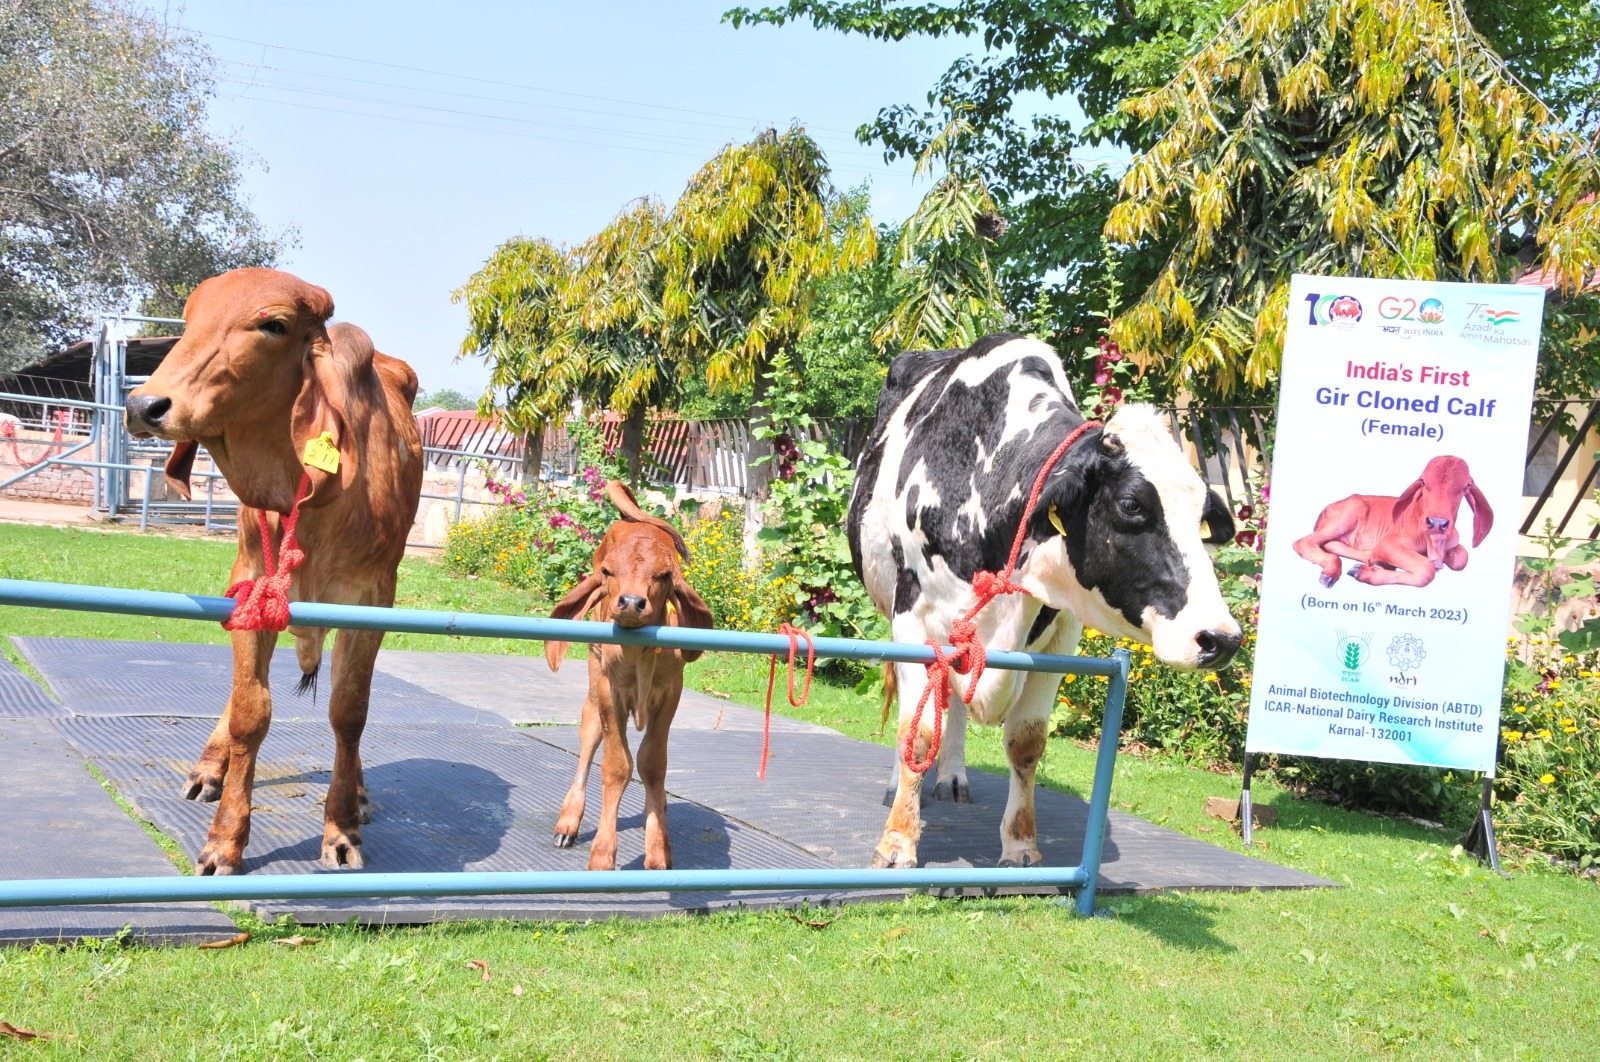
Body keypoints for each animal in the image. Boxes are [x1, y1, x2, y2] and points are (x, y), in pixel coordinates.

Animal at [124, 270, 422, 876]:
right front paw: (224, 840)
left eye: (274, 325)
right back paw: (210, 768)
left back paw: (356, 789)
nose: (145, 405)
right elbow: (250, 711)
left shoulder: (372, 601)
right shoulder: (250, 587)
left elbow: (348, 711)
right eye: (189, 320)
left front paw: (341, 828)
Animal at [544, 483, 713, 870]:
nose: (632, 603)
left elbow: (653, 764)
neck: (639, 656)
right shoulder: (611, 693)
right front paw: (603, 854)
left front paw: (658, 848)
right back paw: (568, 822)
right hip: (594, 690)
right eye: (608, 571)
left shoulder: (671, 694)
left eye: (663, 575)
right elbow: (617, 766)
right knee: (589, 740)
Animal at [851, 334, 1235, 870]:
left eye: (1201, 516)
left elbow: (1026, 742)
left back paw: (952, 777)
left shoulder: (1061, 637)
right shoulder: (912, 619)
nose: (1220, 638)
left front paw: (1020, 845)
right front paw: (898, 842)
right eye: (1131, 504)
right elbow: (919, 730)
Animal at [1292, 454, 1491, 591]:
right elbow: (1427, 569)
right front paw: (1364, 573)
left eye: (1466, 486)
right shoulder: (1388, 543)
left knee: (1331, 544)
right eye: (1423, 481)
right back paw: (1331, 572)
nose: (1437, 522)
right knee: (1304, 542)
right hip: (1348, 515)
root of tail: (1326, 509)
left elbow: (1462, 558)